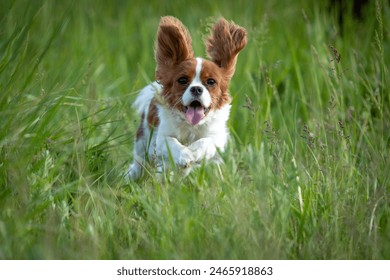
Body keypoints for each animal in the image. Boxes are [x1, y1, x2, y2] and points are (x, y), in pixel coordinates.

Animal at [127, 16, 247, 180]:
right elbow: (171, 142)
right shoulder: (161, 137)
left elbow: (206, 141)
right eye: (183, 80)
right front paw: (185, 155)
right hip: (142, 143)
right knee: (139, 163)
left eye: (211, 82)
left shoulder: (217, 137)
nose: (196, 88)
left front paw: (194, 152)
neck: (192, 126)